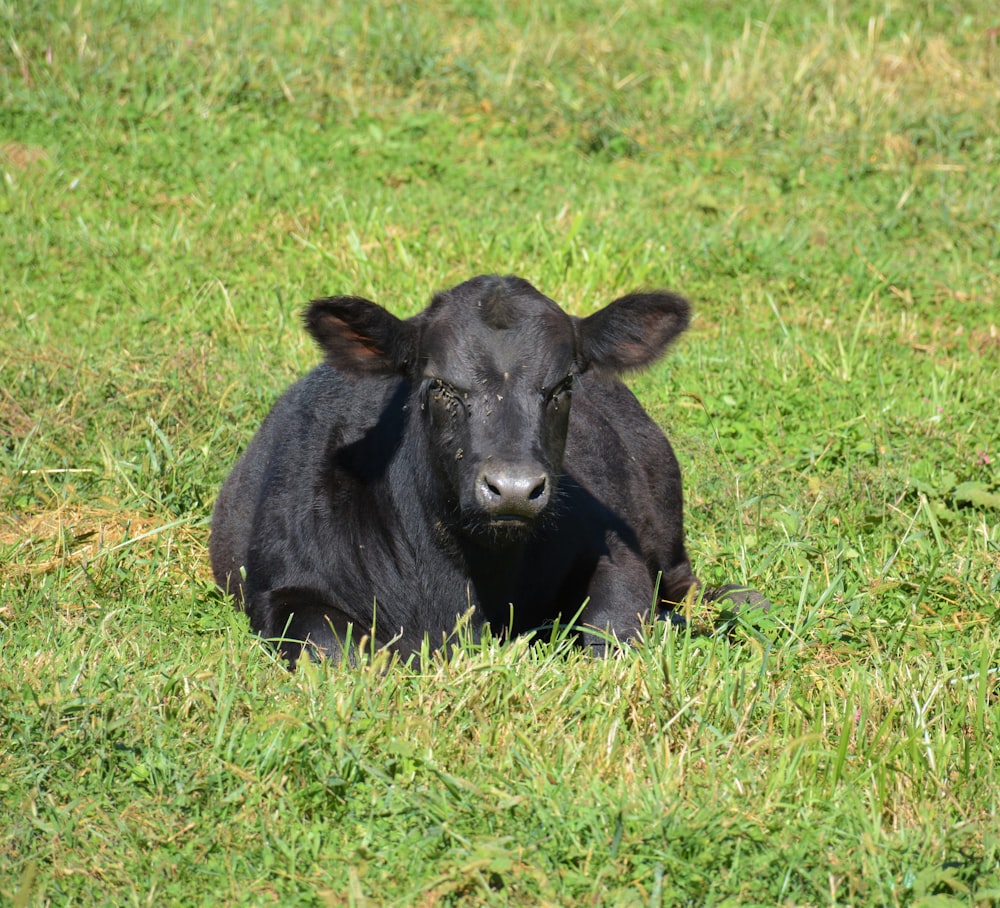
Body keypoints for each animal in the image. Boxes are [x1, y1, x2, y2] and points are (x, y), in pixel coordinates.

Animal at [209, 274, 756, 664]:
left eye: (562, 385)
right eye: (441, 385)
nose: (513, 488)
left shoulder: (615, 552)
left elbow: (612, 632)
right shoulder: (281, 587)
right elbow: (342, 651)